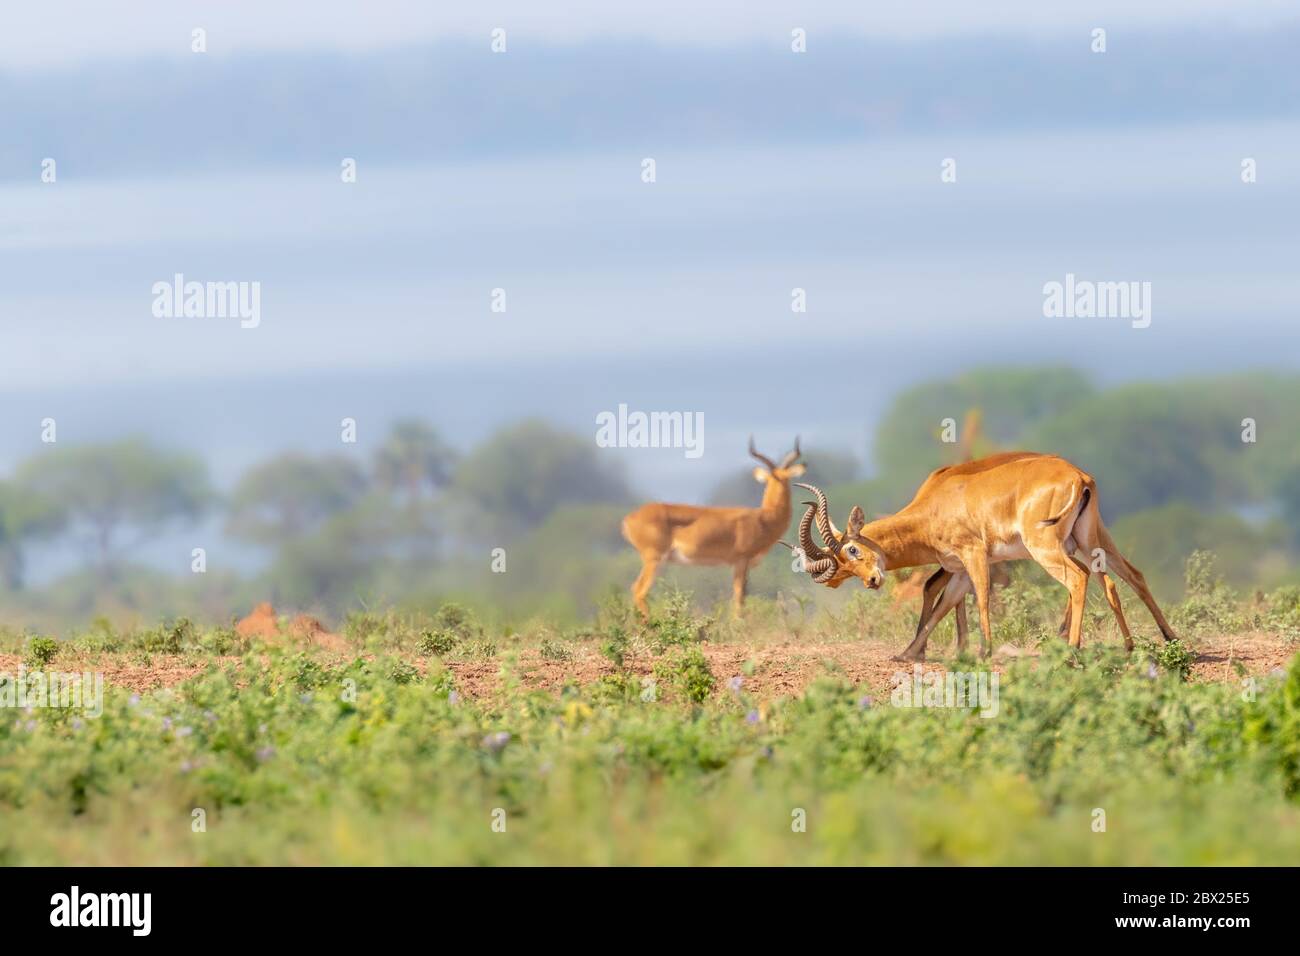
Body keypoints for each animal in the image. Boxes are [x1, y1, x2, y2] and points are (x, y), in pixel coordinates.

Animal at [618, 437, 832, 616]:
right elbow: (738, 595)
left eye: (785, 478)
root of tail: (629, 518)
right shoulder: (741, 560)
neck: (762, 519)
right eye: (773, 478)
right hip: (654, 558)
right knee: (638, 590)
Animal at [785, 452, 1175, 660]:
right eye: (844, 562)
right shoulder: (957, 569)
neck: (935, 503)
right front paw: (908, 654)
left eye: (853, 549)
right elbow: (942, 605)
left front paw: (984, 651)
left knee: (1078, 578)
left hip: (1046, 547)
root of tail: (1079, 476)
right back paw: (1153, 641)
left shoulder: (973, 555)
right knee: (1127, 576)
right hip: (1090, 539)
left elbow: (982, 598)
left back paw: (1072, 648)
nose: (871, 580)